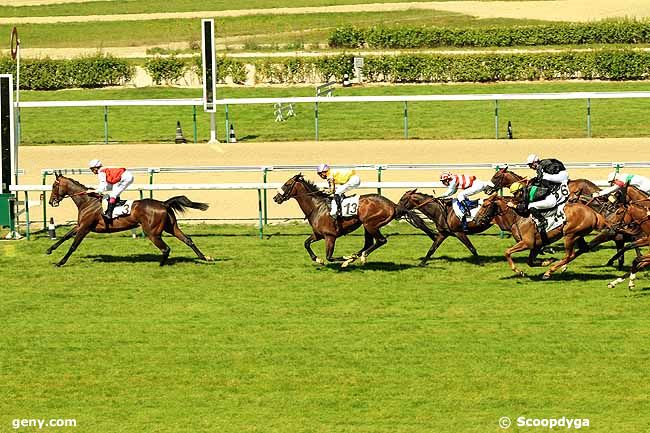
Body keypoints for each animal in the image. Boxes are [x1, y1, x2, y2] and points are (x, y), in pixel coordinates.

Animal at [48, 174, 210, 264]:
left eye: (54, 186)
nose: (51, 202)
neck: (87, 201)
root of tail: (163, 203)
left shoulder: (85, 227)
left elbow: (73, 245)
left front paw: (60, 262)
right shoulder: (80, 225)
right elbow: (65, 236)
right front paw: (49, 249)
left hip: (152, 232)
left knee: (166, 249)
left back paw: (161, 265)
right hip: (171, 227)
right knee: (188, 239)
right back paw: (204, 257)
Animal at [270, 173, 432, 266]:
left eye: (287, 184)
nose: (275, 198)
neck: (317, 207)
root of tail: (393, 204)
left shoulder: (330, 236)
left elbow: (330, 257)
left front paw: (346, 261)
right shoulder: (318, 234)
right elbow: (306, 244)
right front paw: (318, 259)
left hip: (370, 223)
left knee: (381, 240)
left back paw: (360, 257)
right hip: (367, 226)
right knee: (369, 243)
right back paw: (357, 255)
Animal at [470, 192, 604, 276]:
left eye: (485, 205)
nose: (475, 220)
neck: (517, 217)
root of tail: (594, 213)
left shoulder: (527, 243)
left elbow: (507, 252)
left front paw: (518, 271)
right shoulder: (536, 245)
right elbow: (530, 262)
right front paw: (547, 261)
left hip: (570, 235)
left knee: (569, 255)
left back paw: (549, 272)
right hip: (578, 235)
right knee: (580, 251)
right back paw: (557, 267)